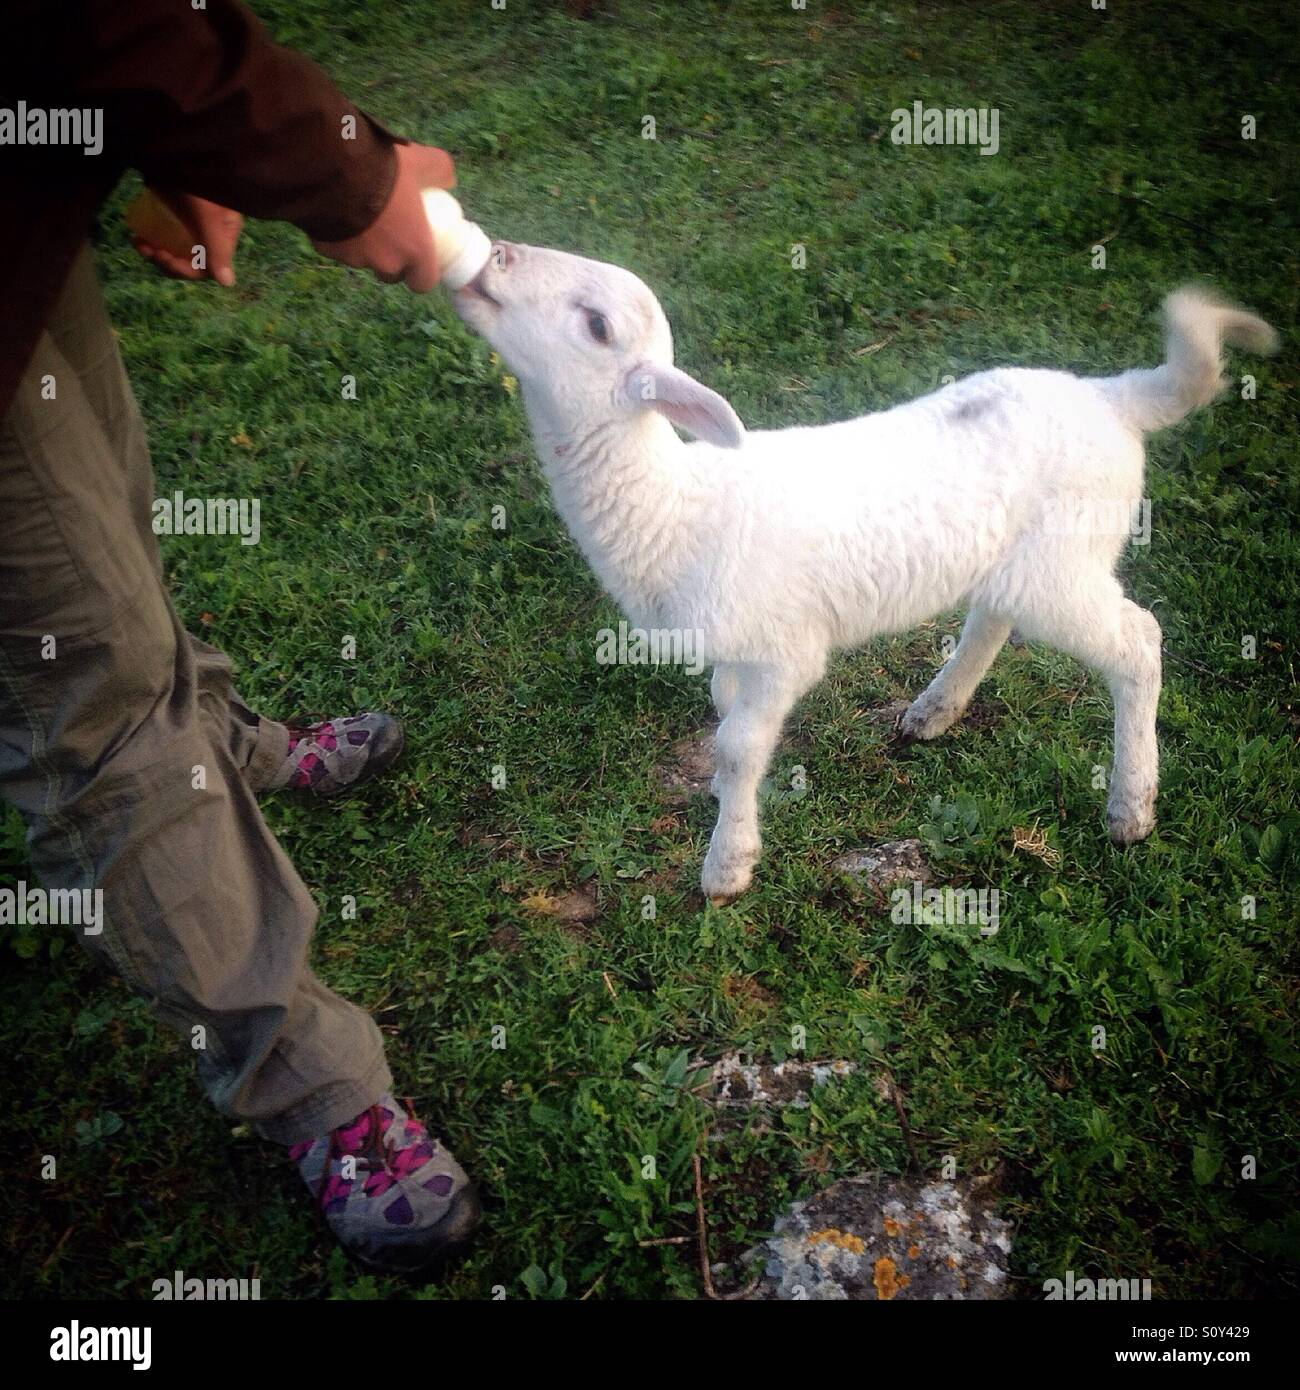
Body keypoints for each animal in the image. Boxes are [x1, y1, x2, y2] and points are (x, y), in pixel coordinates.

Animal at [453, 247, 1277, 901]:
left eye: (596, 326)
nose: (494, 255)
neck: (675, 503)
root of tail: (1113, 397)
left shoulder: (786, 651)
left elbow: (738, 745)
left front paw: (728, 865)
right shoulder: (736, 647)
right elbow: (723, 718)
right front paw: (725, 809)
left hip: (1064, 561)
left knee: (1137, 642)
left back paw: (1131, 807)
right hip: (1020, 560)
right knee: (994, 616)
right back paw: (935, 710)